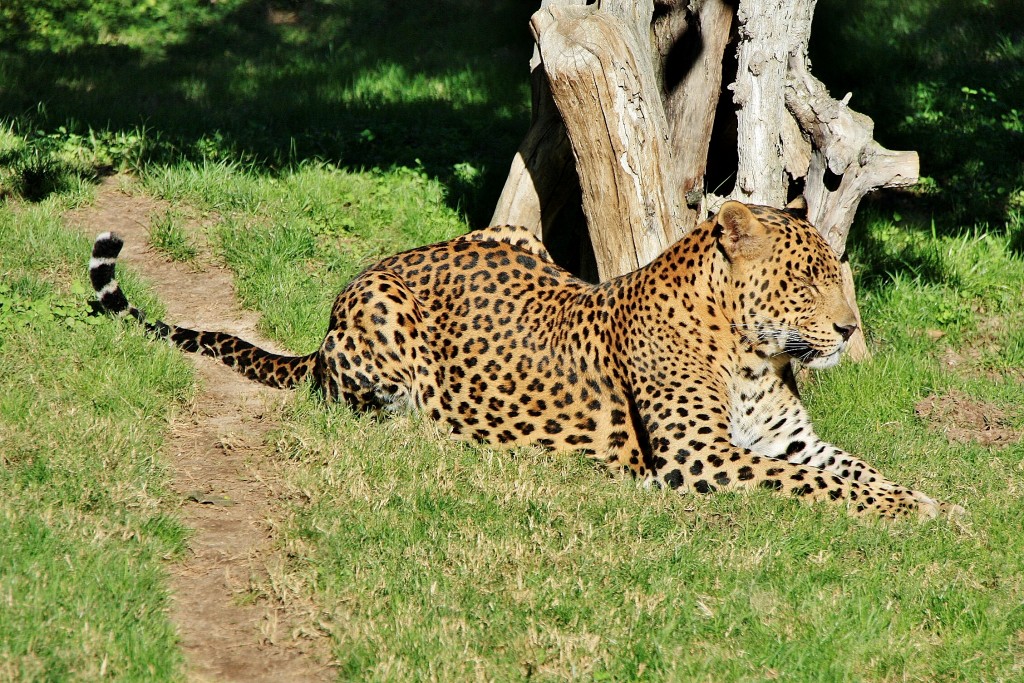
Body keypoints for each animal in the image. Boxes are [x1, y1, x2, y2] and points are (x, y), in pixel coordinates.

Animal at [88, 200, 958, 520]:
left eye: (839, 271)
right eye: (808, 278)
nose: (848, 328)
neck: (747, 350)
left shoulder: (788, 440)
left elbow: (853, 469)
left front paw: (930, 501)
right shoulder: (702, 461)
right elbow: (816, 486)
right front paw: (912, 512)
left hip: (515, 232)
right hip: (383, 328)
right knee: (364, 409)